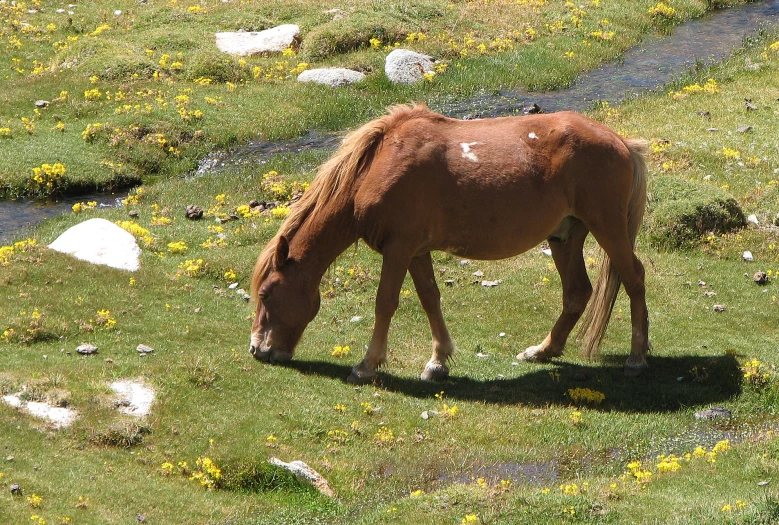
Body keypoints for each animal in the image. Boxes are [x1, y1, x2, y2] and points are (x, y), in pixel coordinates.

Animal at [251, 102, 652, 382]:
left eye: (266, 294)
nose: (258, 350)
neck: (378, 166)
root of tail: (621, 142)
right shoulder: (416, 252)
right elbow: (430, 299)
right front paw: (438, 361)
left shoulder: (398, 249)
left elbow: (385, 304)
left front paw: (367, 365)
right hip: (565, 236)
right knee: (577, 292)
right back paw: (543, 350)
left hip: (606, 228)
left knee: (634, 278)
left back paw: (636, 357)